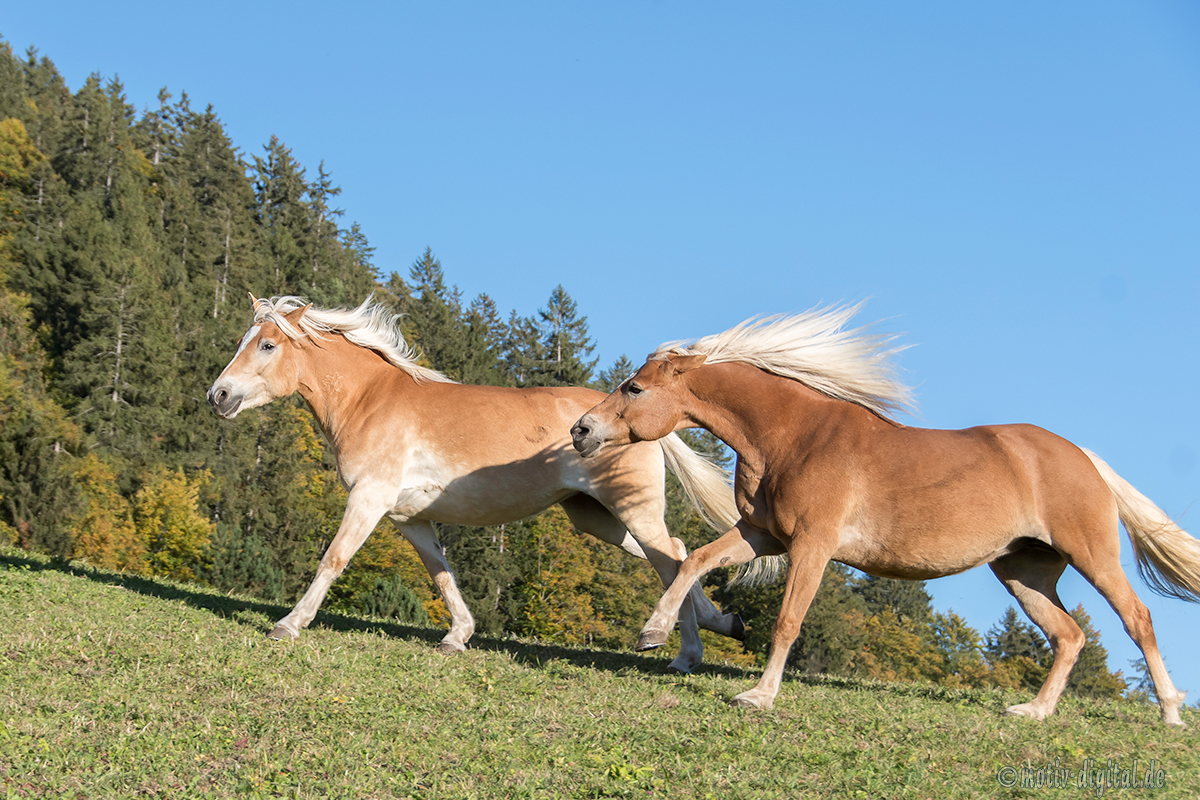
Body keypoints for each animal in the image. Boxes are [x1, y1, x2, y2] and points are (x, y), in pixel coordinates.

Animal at [211, 292, 744, 671]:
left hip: (633, 510)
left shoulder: (369, 498)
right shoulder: (407, 517)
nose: (218, 395)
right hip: (599, 519)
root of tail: (638, 420)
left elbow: (334, 558)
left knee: (673, 559)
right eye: (241, 341)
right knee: (675, 554)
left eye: (267, 344)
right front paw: (457, 636)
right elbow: (441, 573)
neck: (370, 401)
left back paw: (685, 653)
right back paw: (722, 623)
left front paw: (287, 625)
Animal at [571, 304, 1200, 724]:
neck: (793, 436)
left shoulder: (813, 546)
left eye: (633, 388)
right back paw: (1033, 712)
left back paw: (1170, 712)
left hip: (1090, 554)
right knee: (1068, 636)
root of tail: (1083, 457)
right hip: (1024, 571)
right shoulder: (761, 535)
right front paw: (656, 635)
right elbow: (694, 561)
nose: (581, 430)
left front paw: (759, 696)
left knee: (1137, 619)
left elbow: (787, 621)